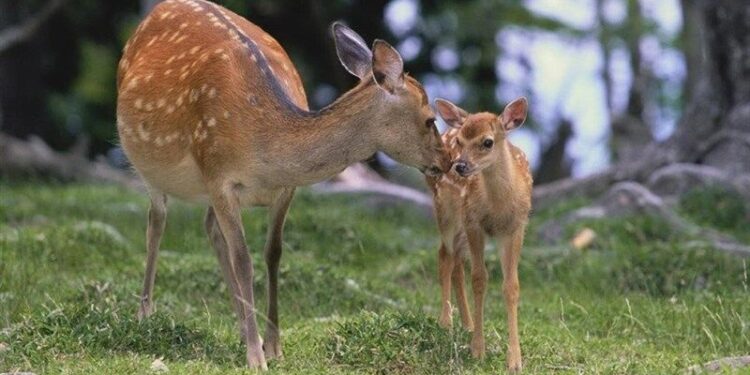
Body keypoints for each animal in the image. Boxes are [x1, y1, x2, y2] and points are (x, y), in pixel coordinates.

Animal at [114, 0, 450, 370]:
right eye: (429, 119)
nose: (448, 161)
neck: (265, 147)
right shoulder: (218, 175)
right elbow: (243, 260)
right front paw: (255, 357)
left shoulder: (285, 190)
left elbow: (272, 254)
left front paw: (273, 346)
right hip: (148, 164)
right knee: (156, 223)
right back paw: (145, 315)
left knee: (210, 228)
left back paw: (244, 329)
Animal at [426, 97, 532, 374]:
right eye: (461, 141)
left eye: (487, 142)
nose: (460, 166)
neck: (498, 206)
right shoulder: (474, 223)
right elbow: (479, 280)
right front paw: (477, 350)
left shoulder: (516, 227)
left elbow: (511, 286)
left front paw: (514, 360)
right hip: (446, 210)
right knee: (444, 256)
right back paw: (446, 321)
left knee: (456, 263)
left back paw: (467, 323)